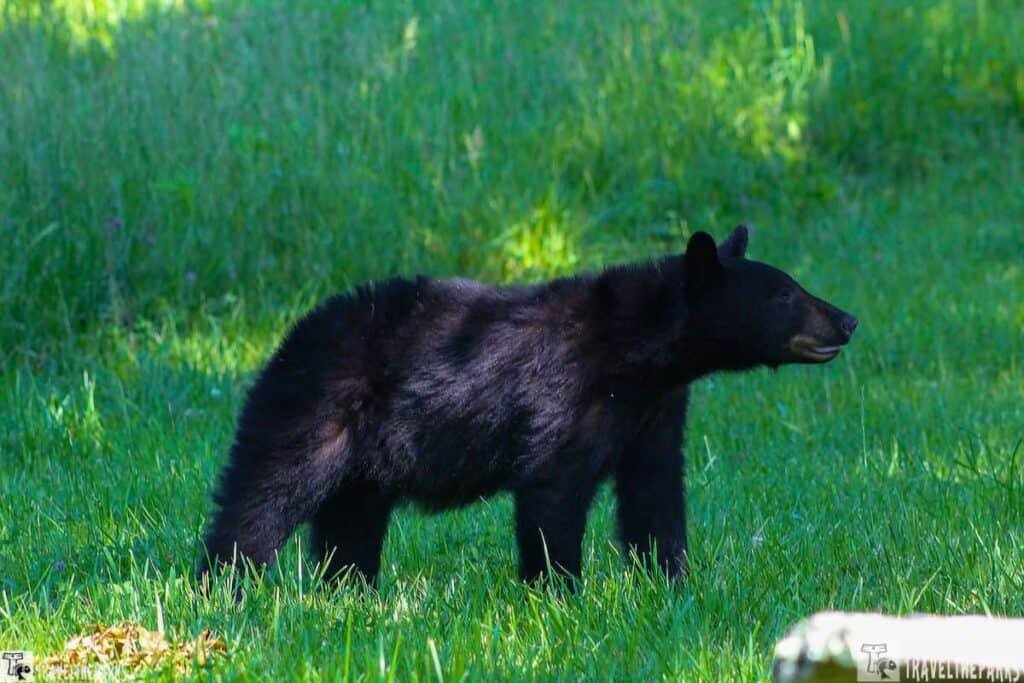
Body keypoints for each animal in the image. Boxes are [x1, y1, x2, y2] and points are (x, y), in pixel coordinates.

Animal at [199, 226, 857, 586]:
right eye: (784, 294)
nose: (847, 319)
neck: (639, 353)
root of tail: (288, 338)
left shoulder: (656, 412)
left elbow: (654, 496)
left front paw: (670, 583)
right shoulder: (561, 396)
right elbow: (553, 492)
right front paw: (560, 593)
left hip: (363, 463)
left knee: (350, 523)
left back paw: (352, 593)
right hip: (315, 411)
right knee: (264, 496)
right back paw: (227, 586)